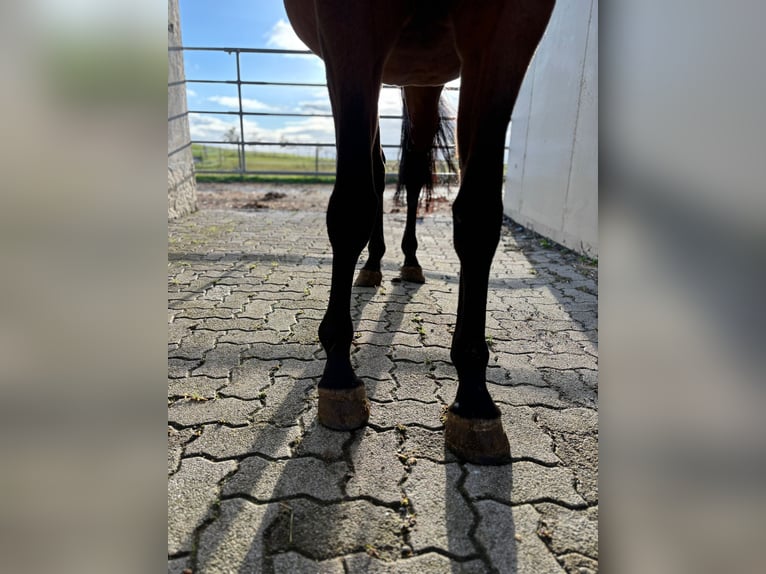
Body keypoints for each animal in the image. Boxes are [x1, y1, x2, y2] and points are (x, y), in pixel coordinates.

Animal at [284, 0, 555, 464]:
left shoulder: (510, 26)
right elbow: (352, 204)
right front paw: (338, 370)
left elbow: (479, 215)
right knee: (376, 168)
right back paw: (373, 264)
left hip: (421, 78)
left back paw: (406, 261)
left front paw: (474, 397)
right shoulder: (346, 26)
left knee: (409, 169)